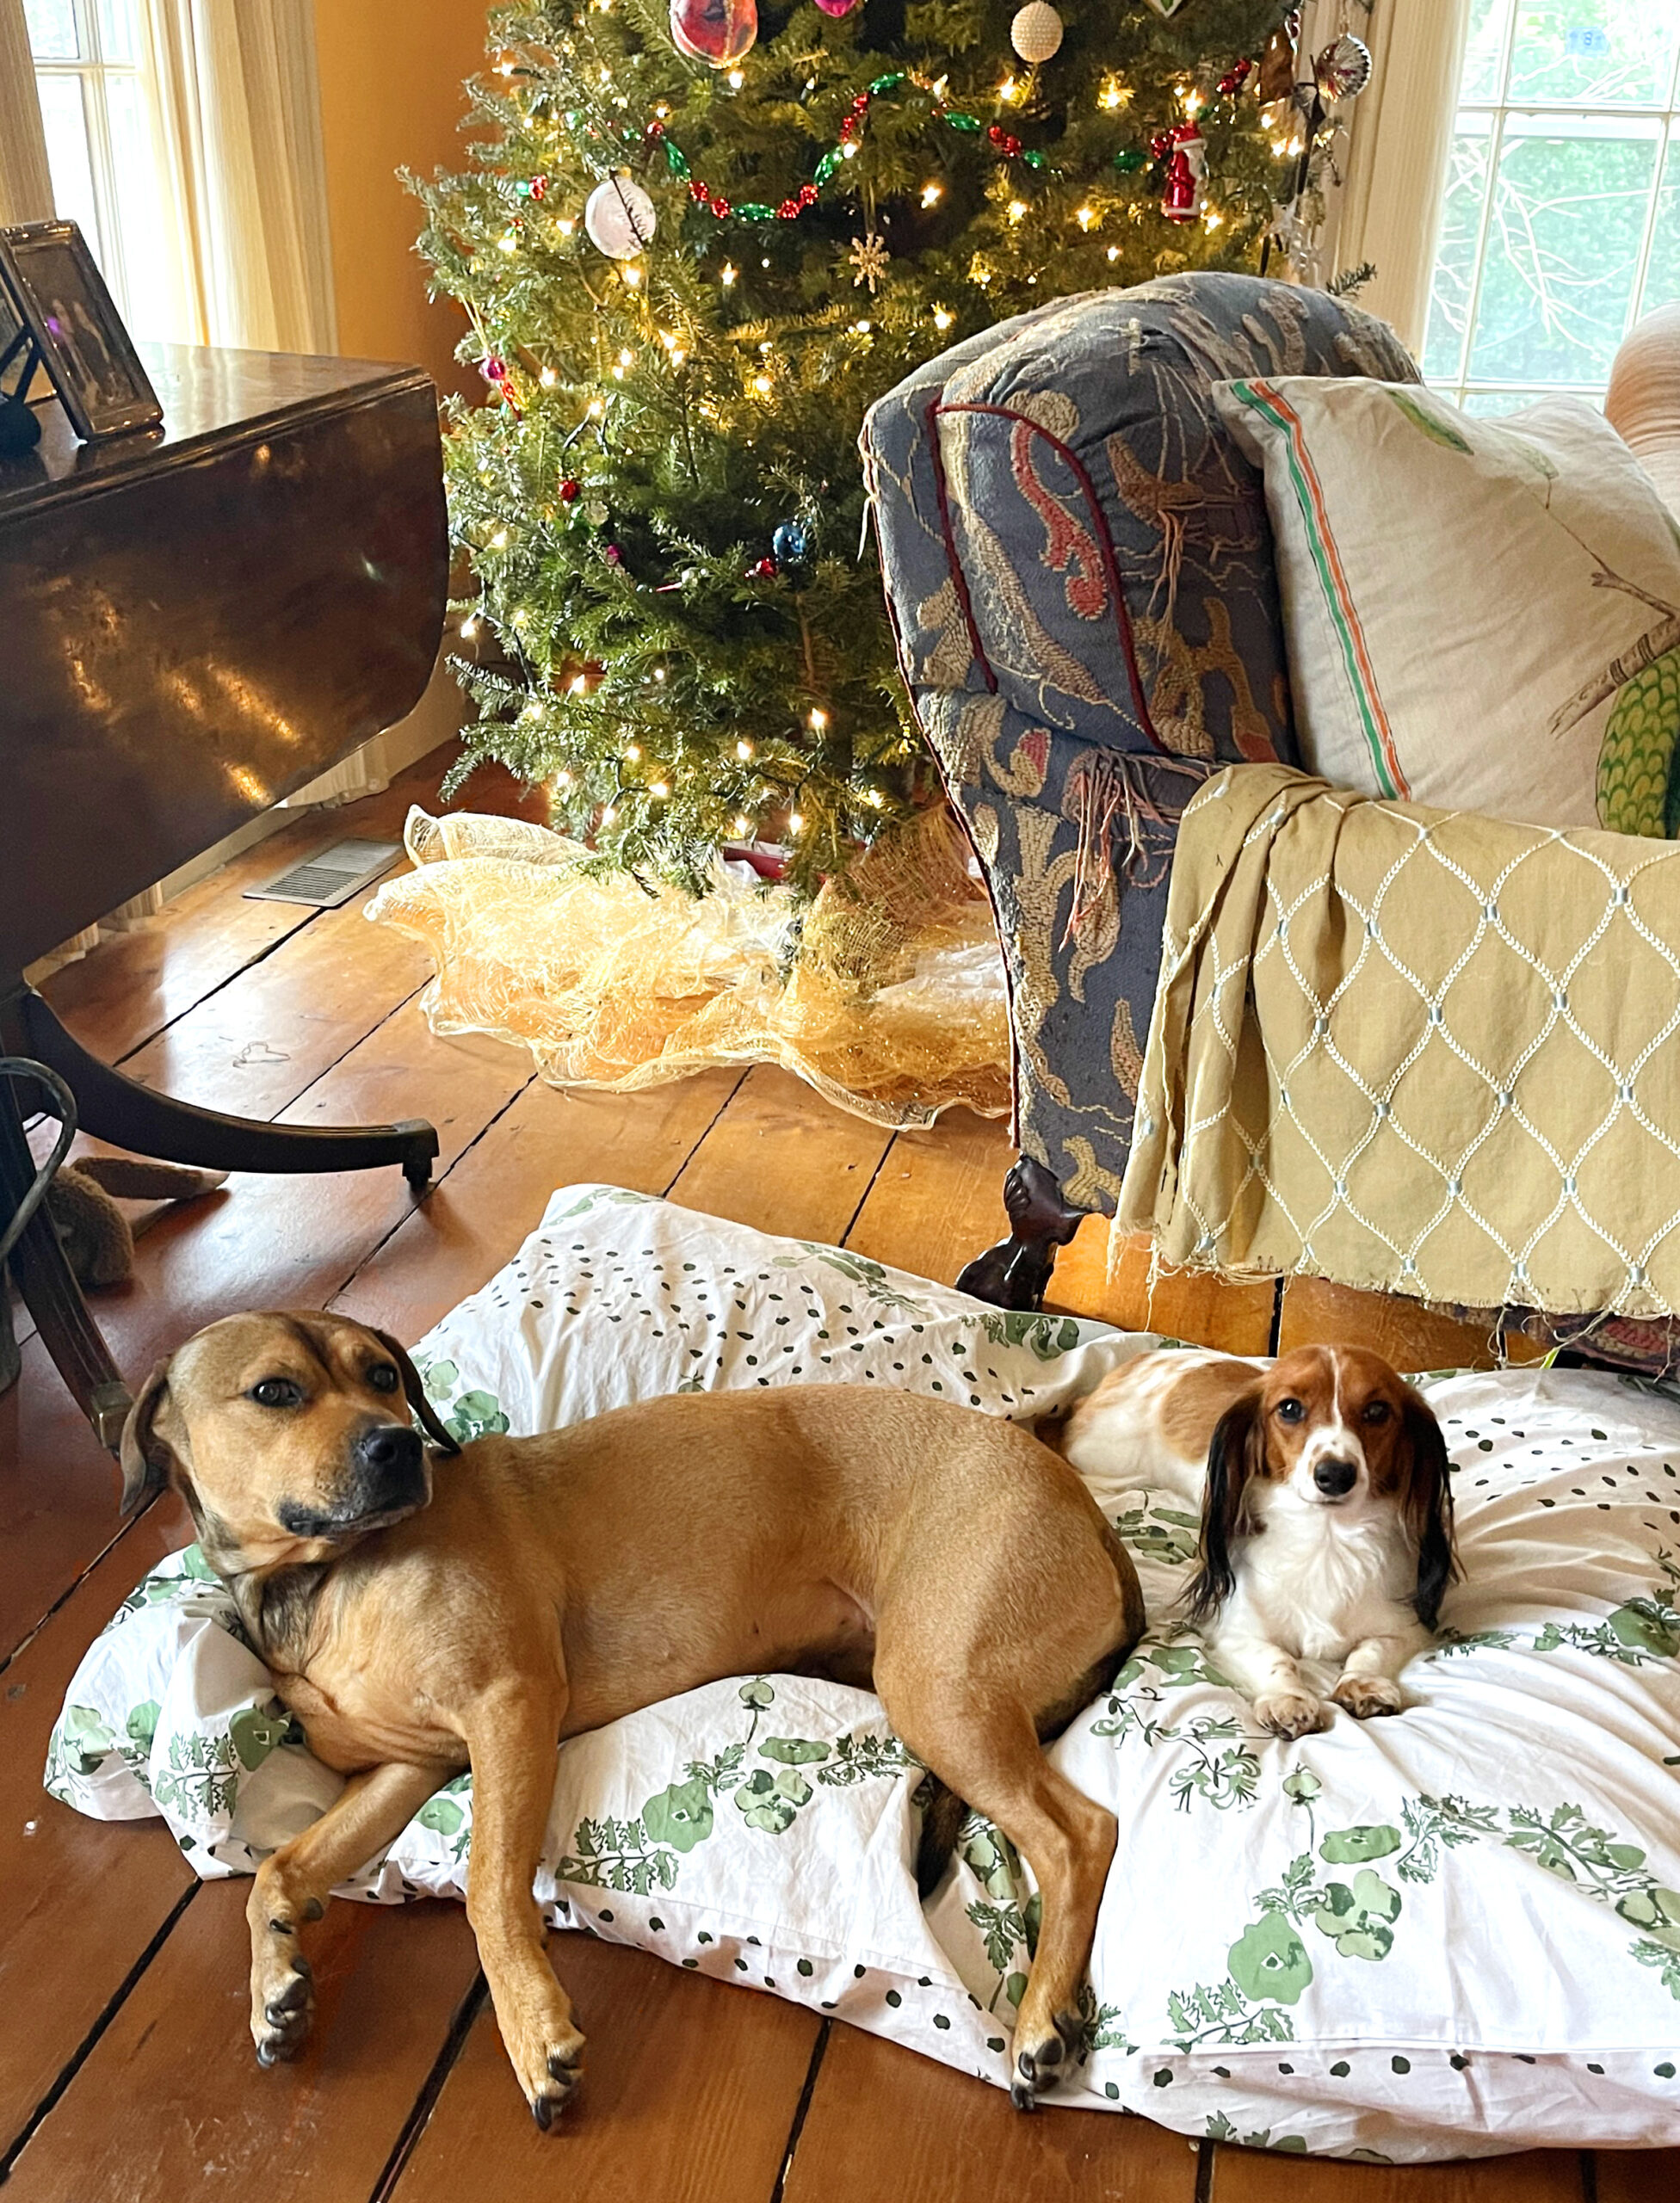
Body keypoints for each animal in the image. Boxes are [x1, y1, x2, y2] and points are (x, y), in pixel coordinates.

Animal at [120, 1312, 1137, 2123]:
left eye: (381, 1375)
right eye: (275, 1392)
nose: (395, 1446)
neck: (328, 1582)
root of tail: (1082, 1504)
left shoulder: (509, 1709)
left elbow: (489, 1890)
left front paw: (532, 2033)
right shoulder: (404, 1770)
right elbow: (276, 1872)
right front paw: (275, 1988)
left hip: (934, 1688)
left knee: (1079, 1833)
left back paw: (1042, 2020)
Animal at [1058, 1339, 1455, 1736]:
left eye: (1376, 1411)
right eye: (1290, 1408)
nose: (1336, 1474)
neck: (1326, 1539)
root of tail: (1142, 1358)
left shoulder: (1404, 1629)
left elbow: (1371, 1650)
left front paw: (1364, 1684)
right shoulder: (1237, 1633)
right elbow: (1276, 1658)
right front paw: (1288, 1698)